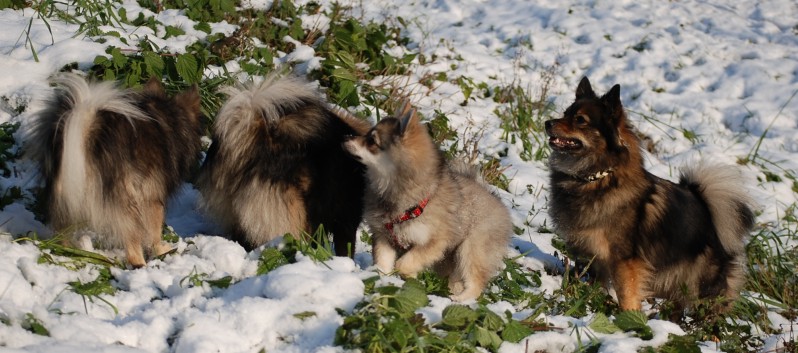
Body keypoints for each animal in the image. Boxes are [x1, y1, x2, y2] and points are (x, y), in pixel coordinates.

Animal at [548, 77, 760, 310]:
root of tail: (710, 214)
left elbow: (626, 294)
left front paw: (628, 314)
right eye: (565, 113)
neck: (595, 178)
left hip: (705, 287)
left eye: (580, 120)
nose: (548, 123)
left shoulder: (624, 261)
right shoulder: (591, 257)